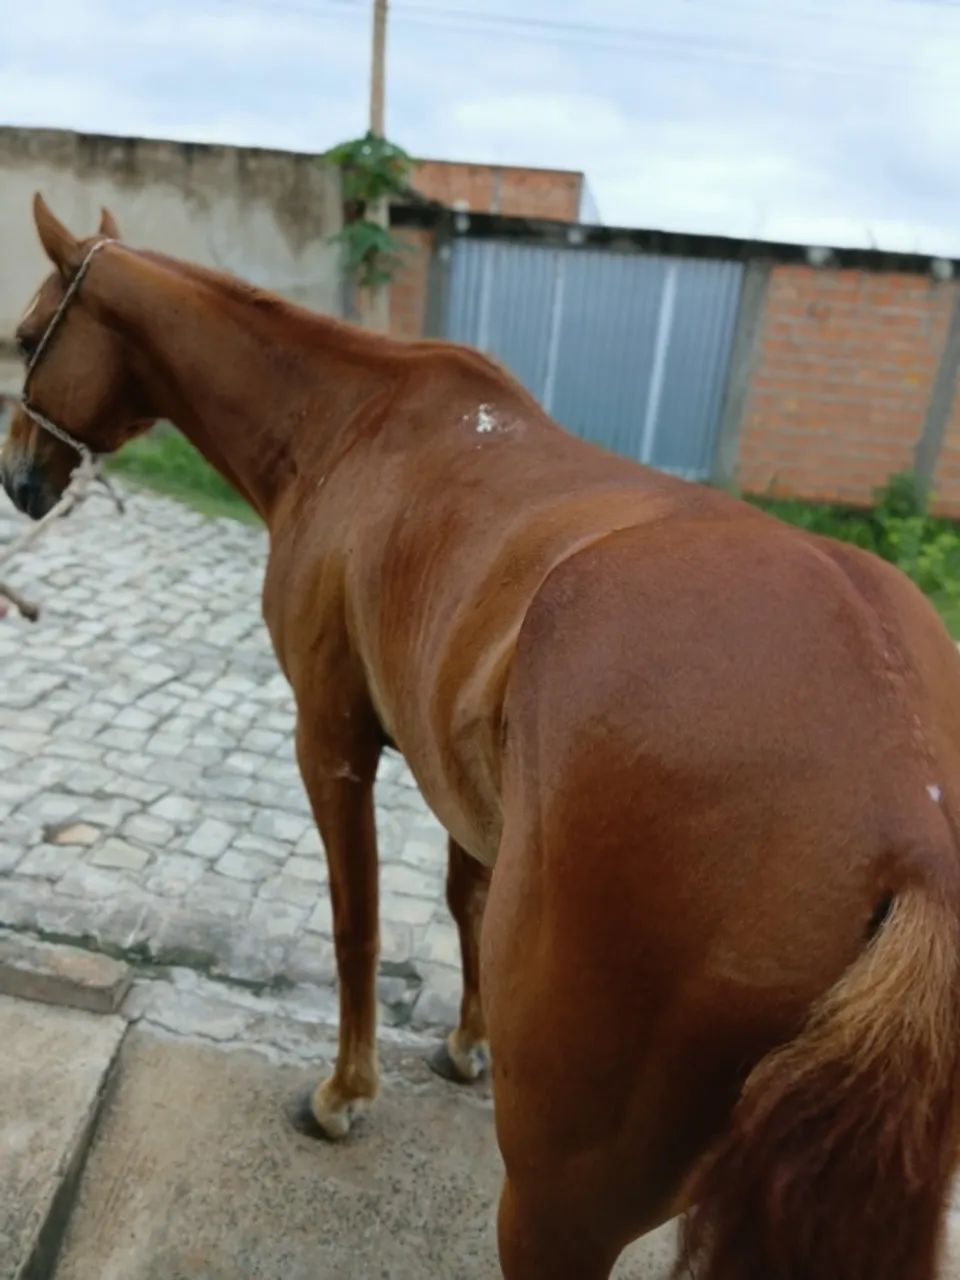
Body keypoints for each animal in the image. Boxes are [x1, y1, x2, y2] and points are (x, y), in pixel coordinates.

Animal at [5, 195, 960, 1280]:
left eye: (28, 338)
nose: (18, 478)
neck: (352, 429)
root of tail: (908, 817)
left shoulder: (330, 739)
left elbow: (358, 924)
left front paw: (346, 1091)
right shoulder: (459, 778)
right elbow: (463, 901)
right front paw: (466, 1042)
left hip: (556, 1207)